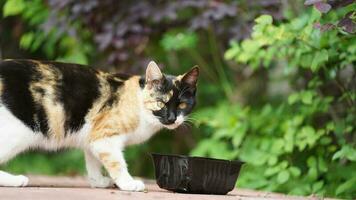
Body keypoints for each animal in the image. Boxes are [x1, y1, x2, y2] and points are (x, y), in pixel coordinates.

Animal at [0, 59, 197, 191]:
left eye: (182, 105)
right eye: (160, 103)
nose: (172, 118)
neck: (139, 102)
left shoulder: (94, 136)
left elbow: (93, 161)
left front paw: (98, 182)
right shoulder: (106, 137)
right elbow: (117, 163)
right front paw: (128, 183)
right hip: (17, 132)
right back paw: (16, 180)